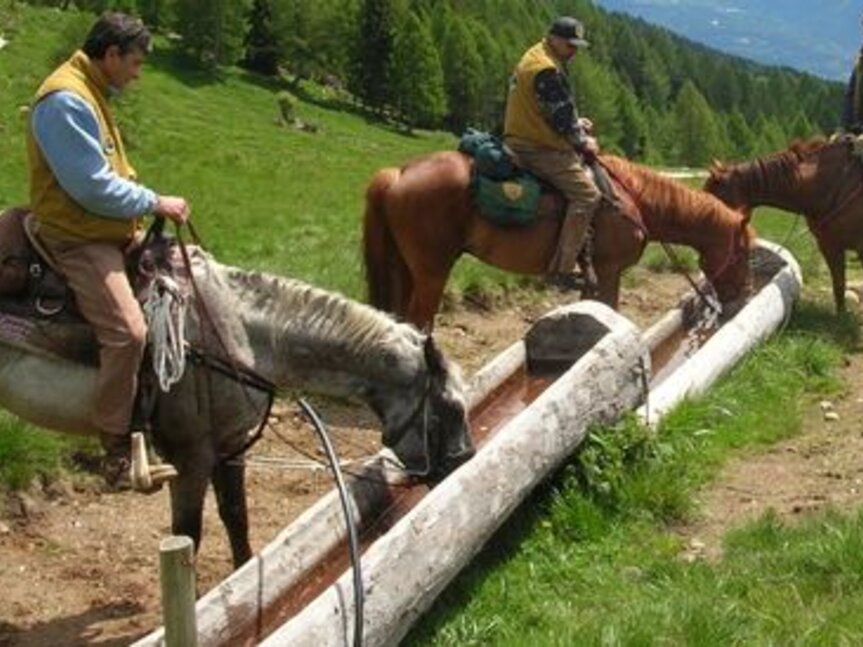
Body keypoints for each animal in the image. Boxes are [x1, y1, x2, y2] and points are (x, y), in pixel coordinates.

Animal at [0, 244, 475, 569]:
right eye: (450, 407)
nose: (464, 462)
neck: (236, 335)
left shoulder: (230, 446)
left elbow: (235, 516)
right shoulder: (189, 458)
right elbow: (188, 534)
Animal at [363, 151, 755, 330]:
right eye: (744, 253)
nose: (744, 297)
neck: (634, 200)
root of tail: (399, 174)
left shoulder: (595, 275)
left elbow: (590, 311)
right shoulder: (609, 271)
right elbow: (611, 309)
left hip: (404, 267)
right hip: (432, 271)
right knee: (419, 321)